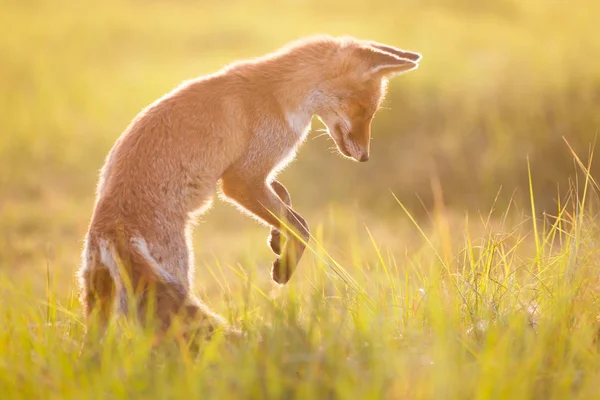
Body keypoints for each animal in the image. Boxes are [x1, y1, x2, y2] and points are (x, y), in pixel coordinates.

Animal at [76, 36, 422, 340]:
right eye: (364, 109)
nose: (364, 157)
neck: (278, 94)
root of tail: (110, 226)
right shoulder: (240, 180)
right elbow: (301, 227)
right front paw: (284, 267)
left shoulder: (259, 176)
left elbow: (286, 204)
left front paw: (277, 240)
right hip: (177, 273)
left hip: (97, 301)